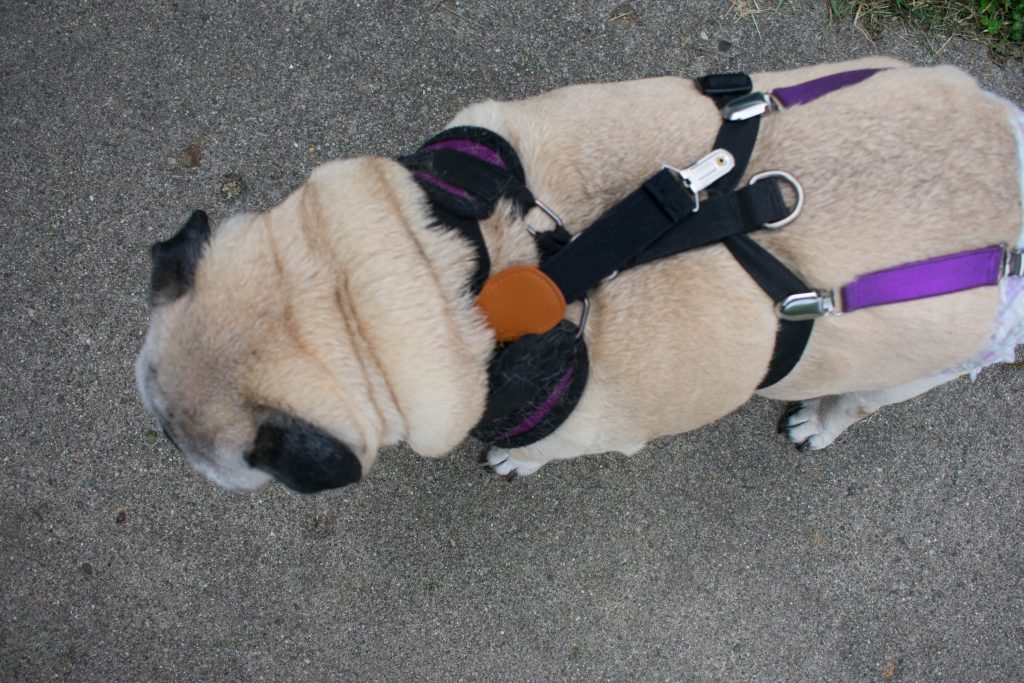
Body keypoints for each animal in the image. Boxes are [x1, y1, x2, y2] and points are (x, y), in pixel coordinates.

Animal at [136, 54, 1024, 491]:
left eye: (212, 460)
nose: (163, 440)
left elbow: (541, 450)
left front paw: (516, 462)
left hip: (919, 366)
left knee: (862, 402)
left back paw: (819, 421)